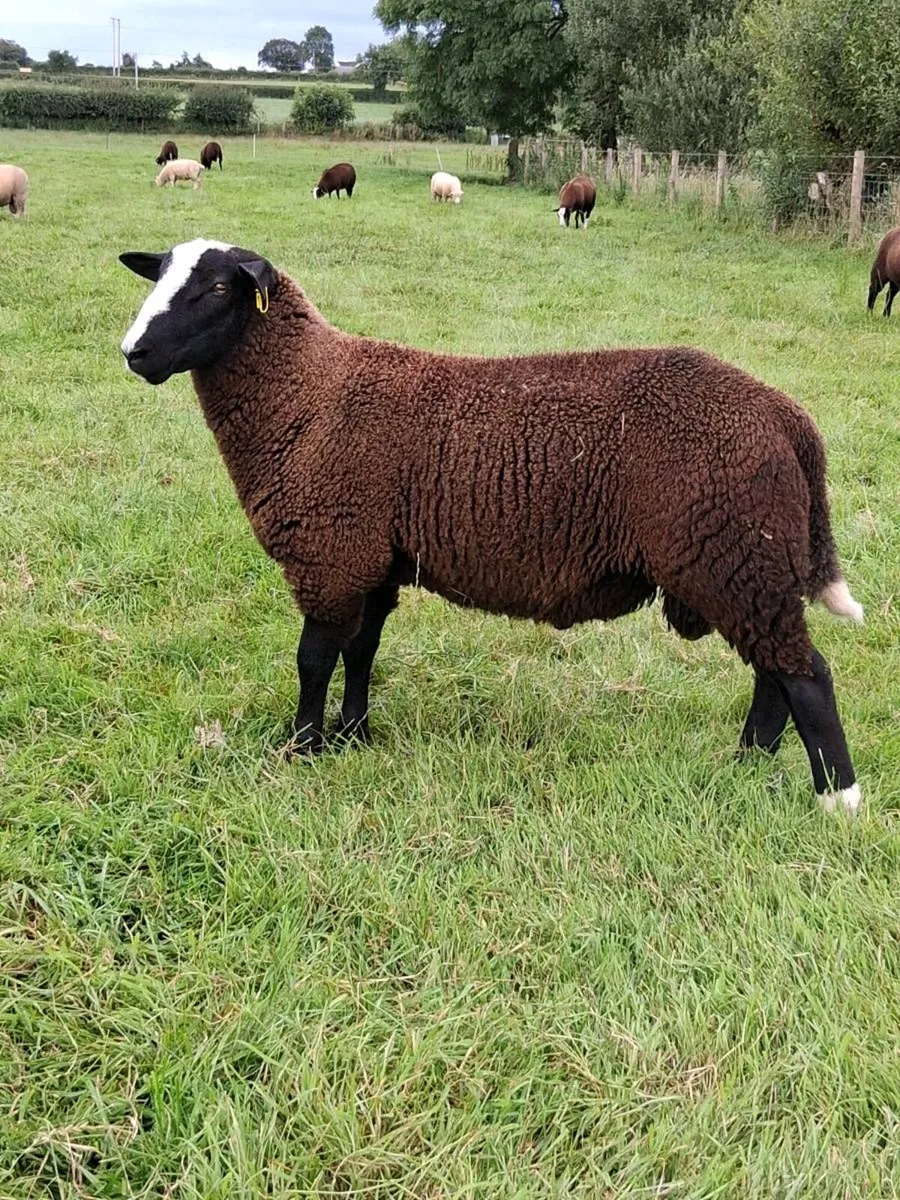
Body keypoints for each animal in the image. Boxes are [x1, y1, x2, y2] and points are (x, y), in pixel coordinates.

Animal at [118, 238, 865, 814]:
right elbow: (361, 653)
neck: (307, 393)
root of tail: (786, 415)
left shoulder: (331, 553)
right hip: (746, 563)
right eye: (158, 277)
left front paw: (302, 749)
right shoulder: (373, 562)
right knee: (774, 674)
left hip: (732, 556)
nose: (133, 353)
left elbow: (312, 660)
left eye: (219, 286)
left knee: (806, 676)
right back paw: (746, 764)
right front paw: (354, 737)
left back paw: (839, 800)